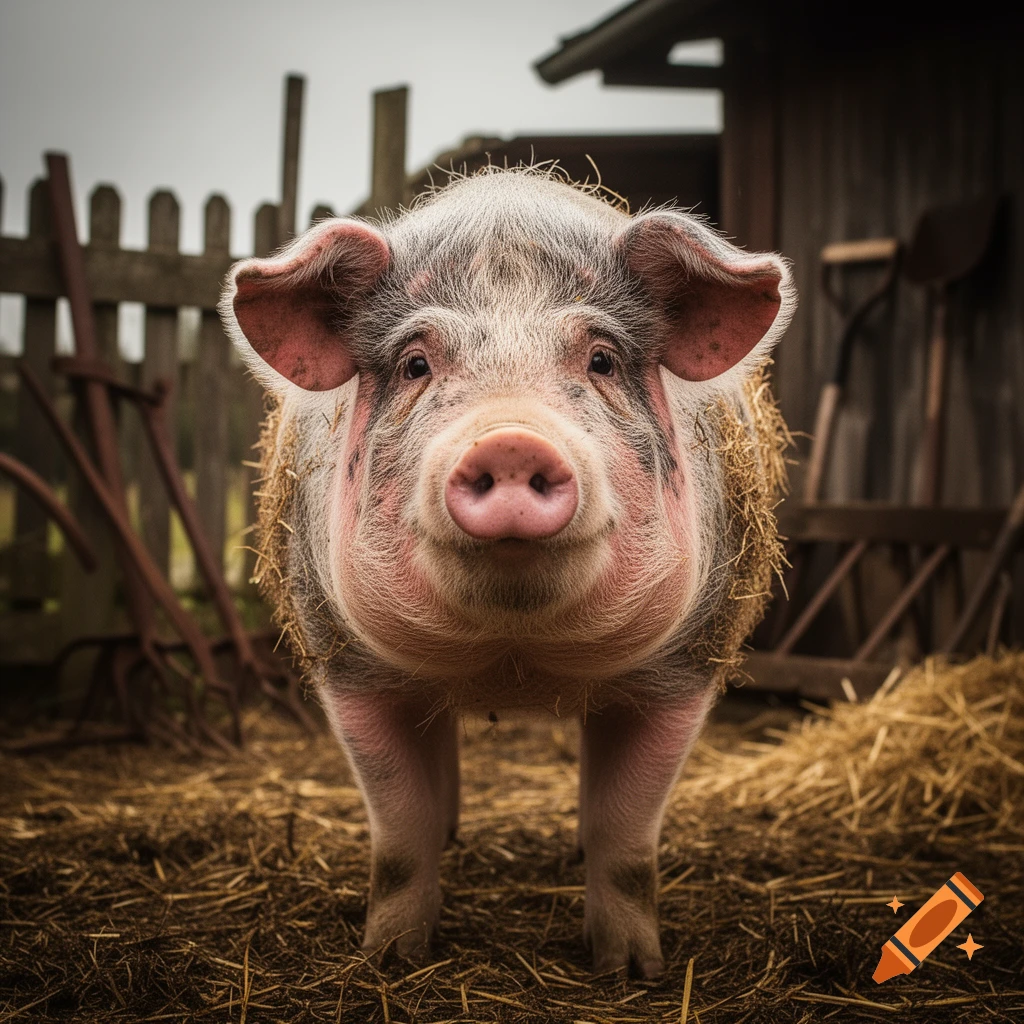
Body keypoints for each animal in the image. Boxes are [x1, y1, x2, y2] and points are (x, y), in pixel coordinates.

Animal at [220, 166, 795, 977]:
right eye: (417, 363)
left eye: (601, 359)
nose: (512, 440)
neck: (514, 661)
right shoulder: (348, 669)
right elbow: (400, 833)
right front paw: (390, 960)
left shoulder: (685, 669)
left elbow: (627, 838)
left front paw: (630, 972)